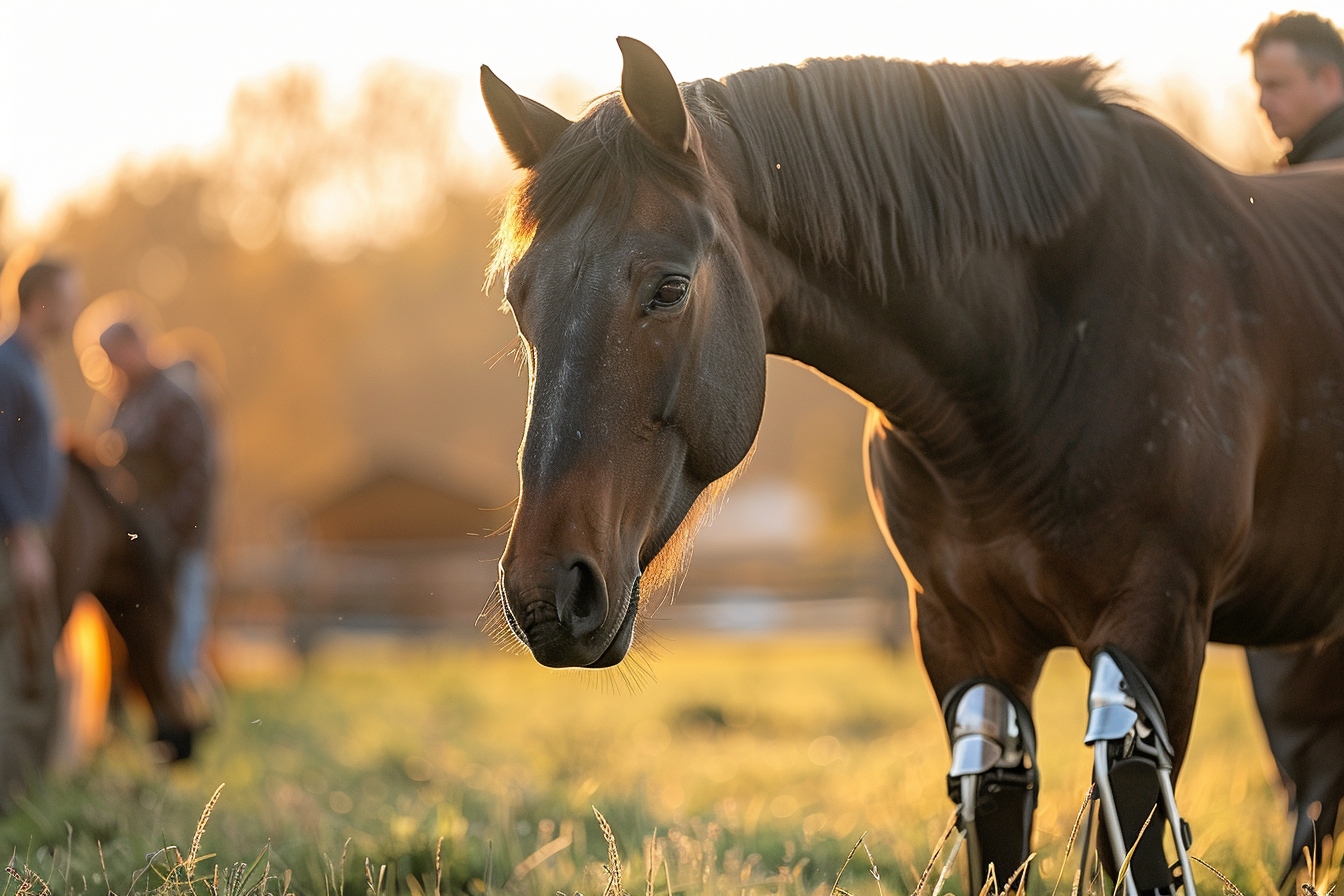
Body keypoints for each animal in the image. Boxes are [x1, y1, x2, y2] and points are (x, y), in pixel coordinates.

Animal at [479, 39, 1344, 892]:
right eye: (520, 299)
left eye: (668, 288)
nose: (548, 591)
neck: (1035, 357)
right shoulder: (966, 640)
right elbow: (997, 826)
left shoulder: (1154, 629)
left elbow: (1133, 831)